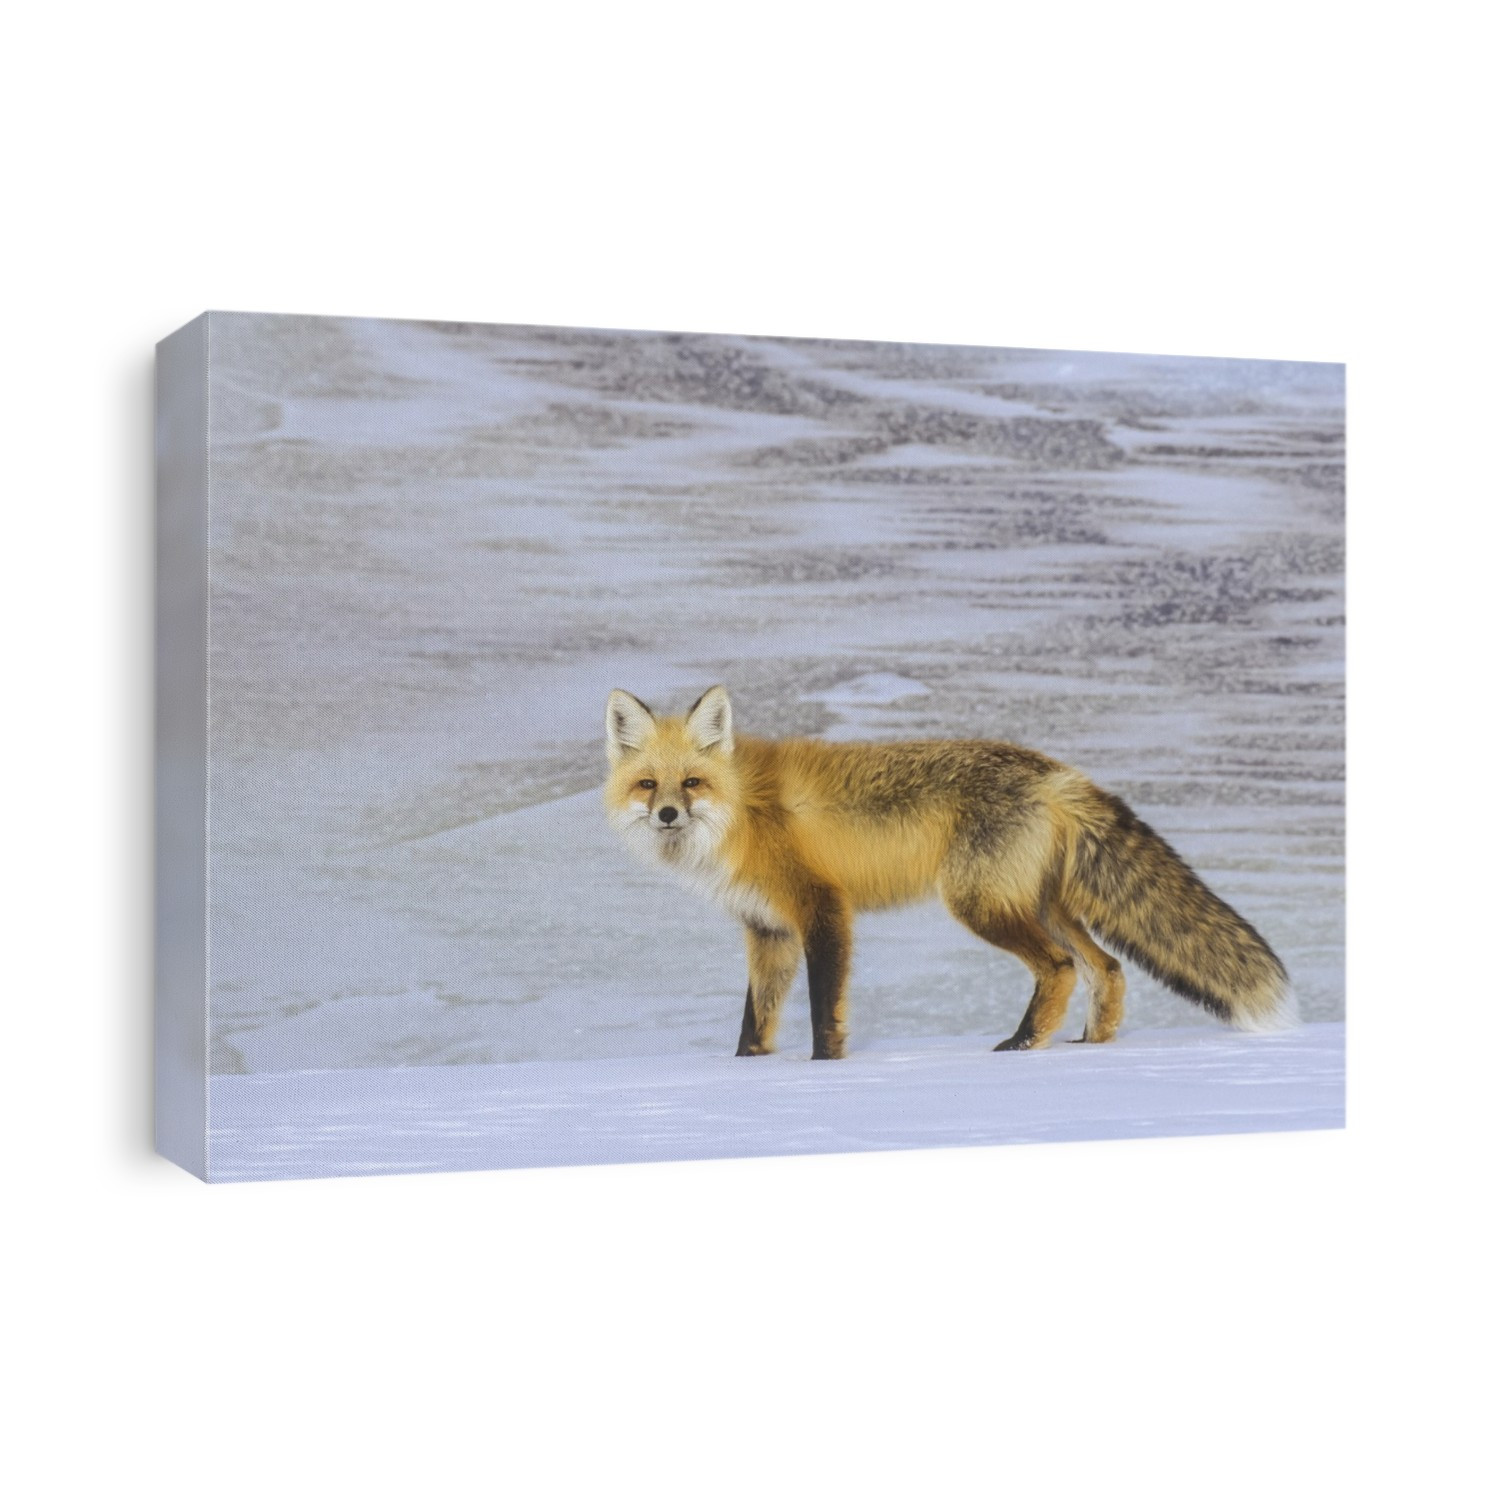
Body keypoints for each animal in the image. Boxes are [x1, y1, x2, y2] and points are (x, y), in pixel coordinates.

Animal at [603, 685, 1296, 1060]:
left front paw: (823, 1068)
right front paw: (746, 1070)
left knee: (1062, 967)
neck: (742, 811)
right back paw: (1089, 1047)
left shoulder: (823, 908)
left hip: (980, 904)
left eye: (693, 782)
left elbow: (825, 1011)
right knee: (1109, 968)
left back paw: (1023, 1044)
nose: (667, 814)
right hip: (1041, 905)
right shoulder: (767, 929)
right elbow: (757, 1022)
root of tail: (1055, 769)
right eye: (649, 784)